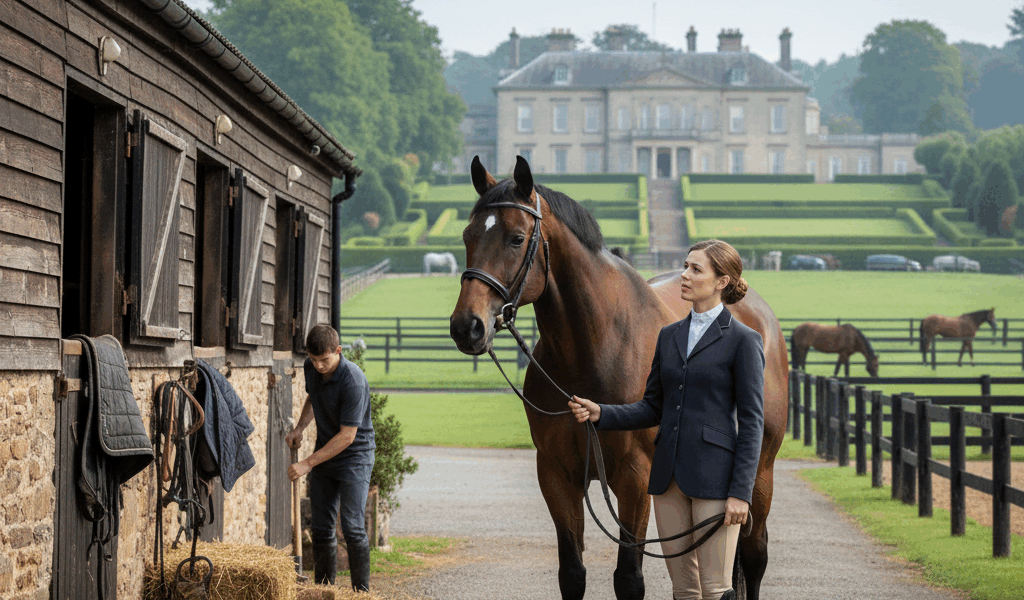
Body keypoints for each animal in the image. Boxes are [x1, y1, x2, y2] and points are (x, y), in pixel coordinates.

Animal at [449, 156, 789, 600]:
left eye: (516, 238)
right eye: (468, 235)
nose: (467, 326)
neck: (593, 349)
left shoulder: (634, 479)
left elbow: (628, 578)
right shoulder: (557, 475)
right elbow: (572, 573)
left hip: (758, 476)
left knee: (752, 555)